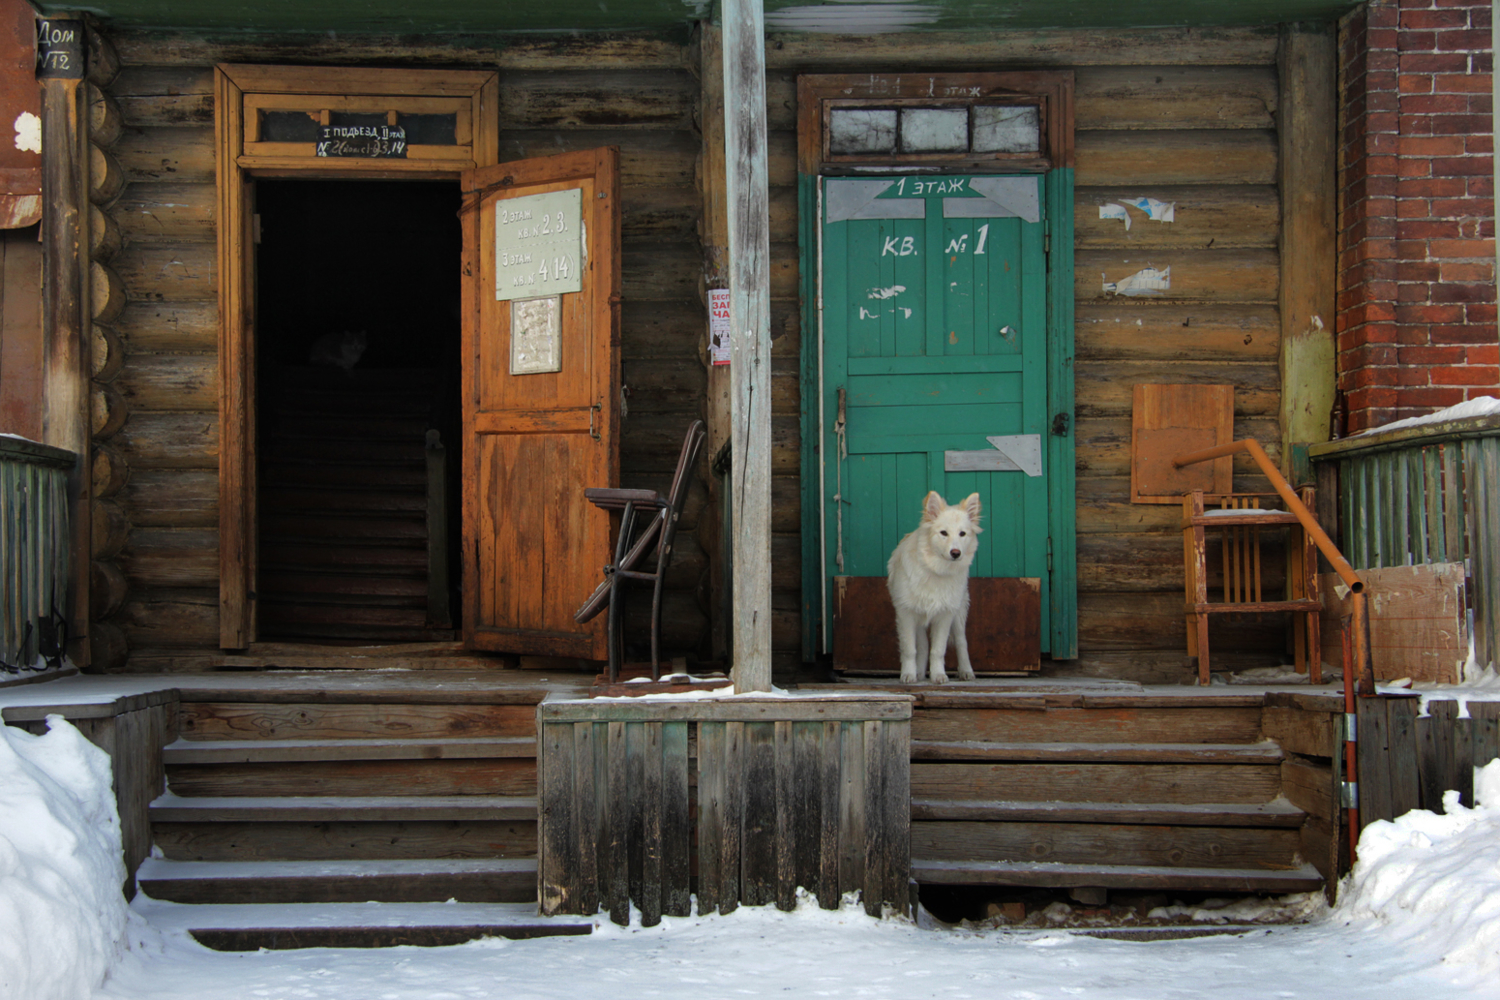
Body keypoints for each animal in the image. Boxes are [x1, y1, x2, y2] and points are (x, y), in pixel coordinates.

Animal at [882, 491, 978, 683]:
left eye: (962, 534)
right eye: (943, 533)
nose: (955, 553)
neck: (935, 569)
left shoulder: (945, 615)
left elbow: (938, 650)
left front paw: (938, 674)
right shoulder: (906, 614)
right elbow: (910, 649)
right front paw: (909, 674)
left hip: (959, 613)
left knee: (961, 641)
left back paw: (966, 670)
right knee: (923, 645)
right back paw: (919, 672)